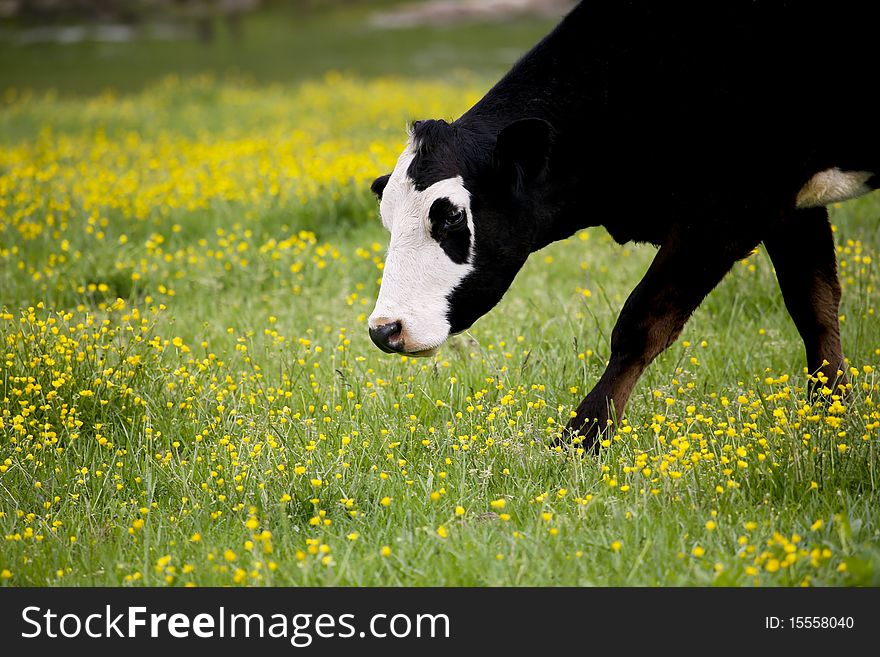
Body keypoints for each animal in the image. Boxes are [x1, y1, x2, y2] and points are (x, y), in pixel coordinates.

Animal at [364, 0, 880, 448]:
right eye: (387, 219)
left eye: (450, 217)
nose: (384, 330)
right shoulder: (789, 204)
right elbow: (813, 304)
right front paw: (831, 415)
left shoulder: (731, 203)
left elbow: (641, 320)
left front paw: (580, 438)